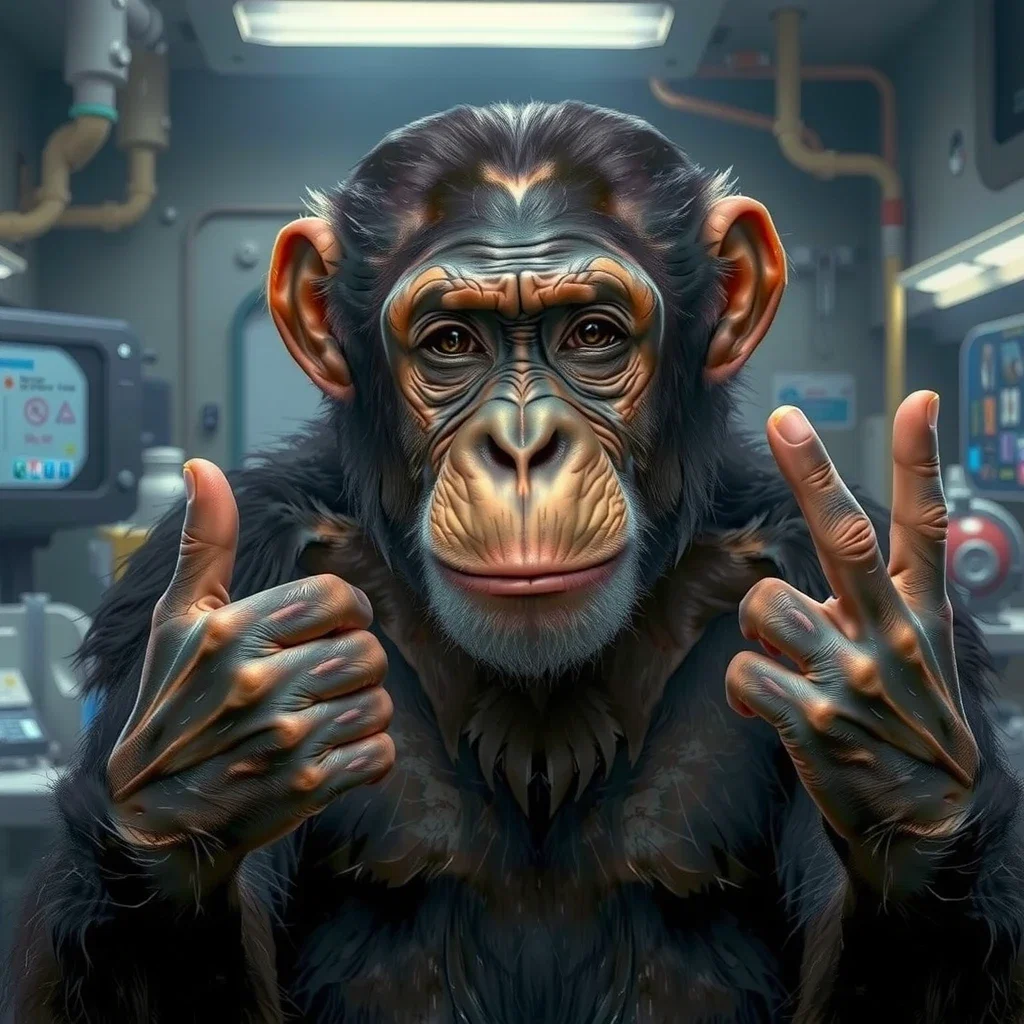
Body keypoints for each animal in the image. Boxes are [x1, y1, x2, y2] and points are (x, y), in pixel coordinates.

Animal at [5, 101, 1024, 1024]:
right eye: (453, 342)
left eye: (593, 334)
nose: (524, 446)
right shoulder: (227, 558)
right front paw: (197, 786)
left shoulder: (818, 559)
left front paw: (893, 760)